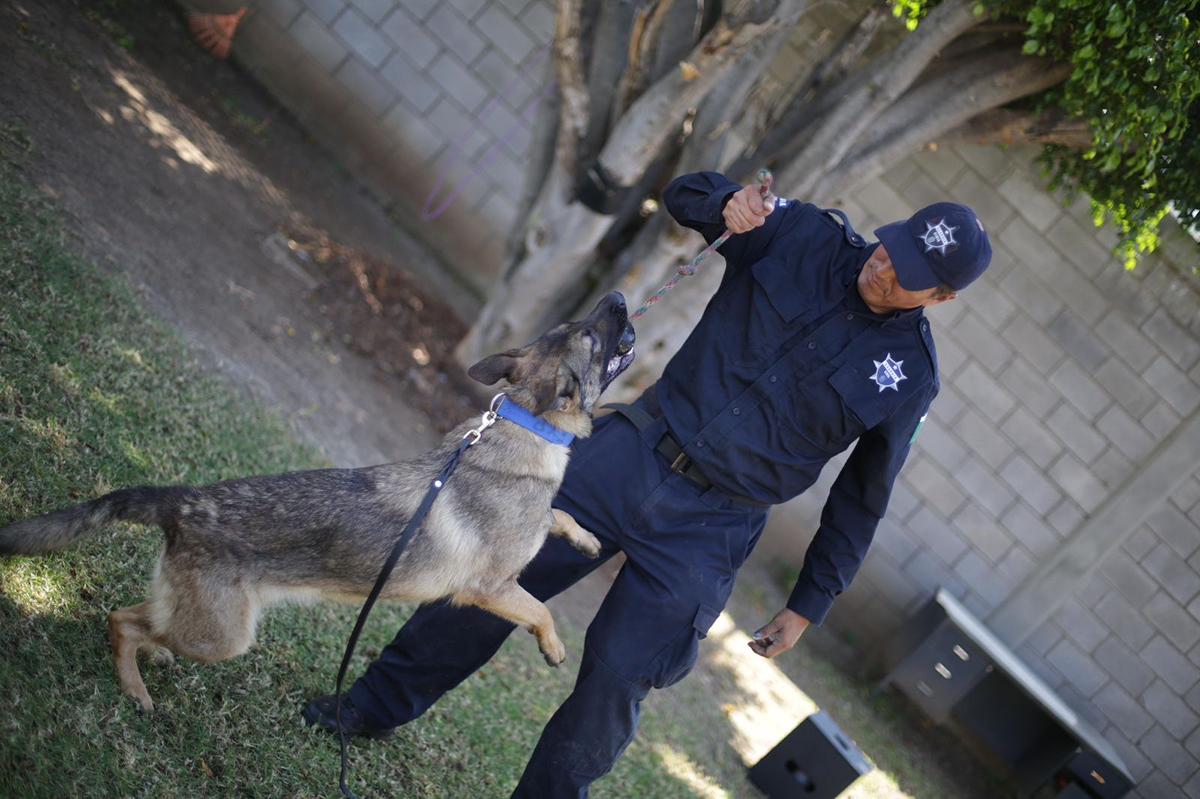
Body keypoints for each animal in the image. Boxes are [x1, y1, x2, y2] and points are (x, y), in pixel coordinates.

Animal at [0, 289, 638, 705]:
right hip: (222, 637)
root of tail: (183, 502)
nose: (618, 297)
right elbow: (540, 607)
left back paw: (146, 662)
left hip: (205, 625)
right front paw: (553, 645)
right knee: (122, 621)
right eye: (590, 333)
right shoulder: (490, 589)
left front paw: (585, 538)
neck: (527, 423)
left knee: (135, 616)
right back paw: (134, 688)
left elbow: (560, 513)